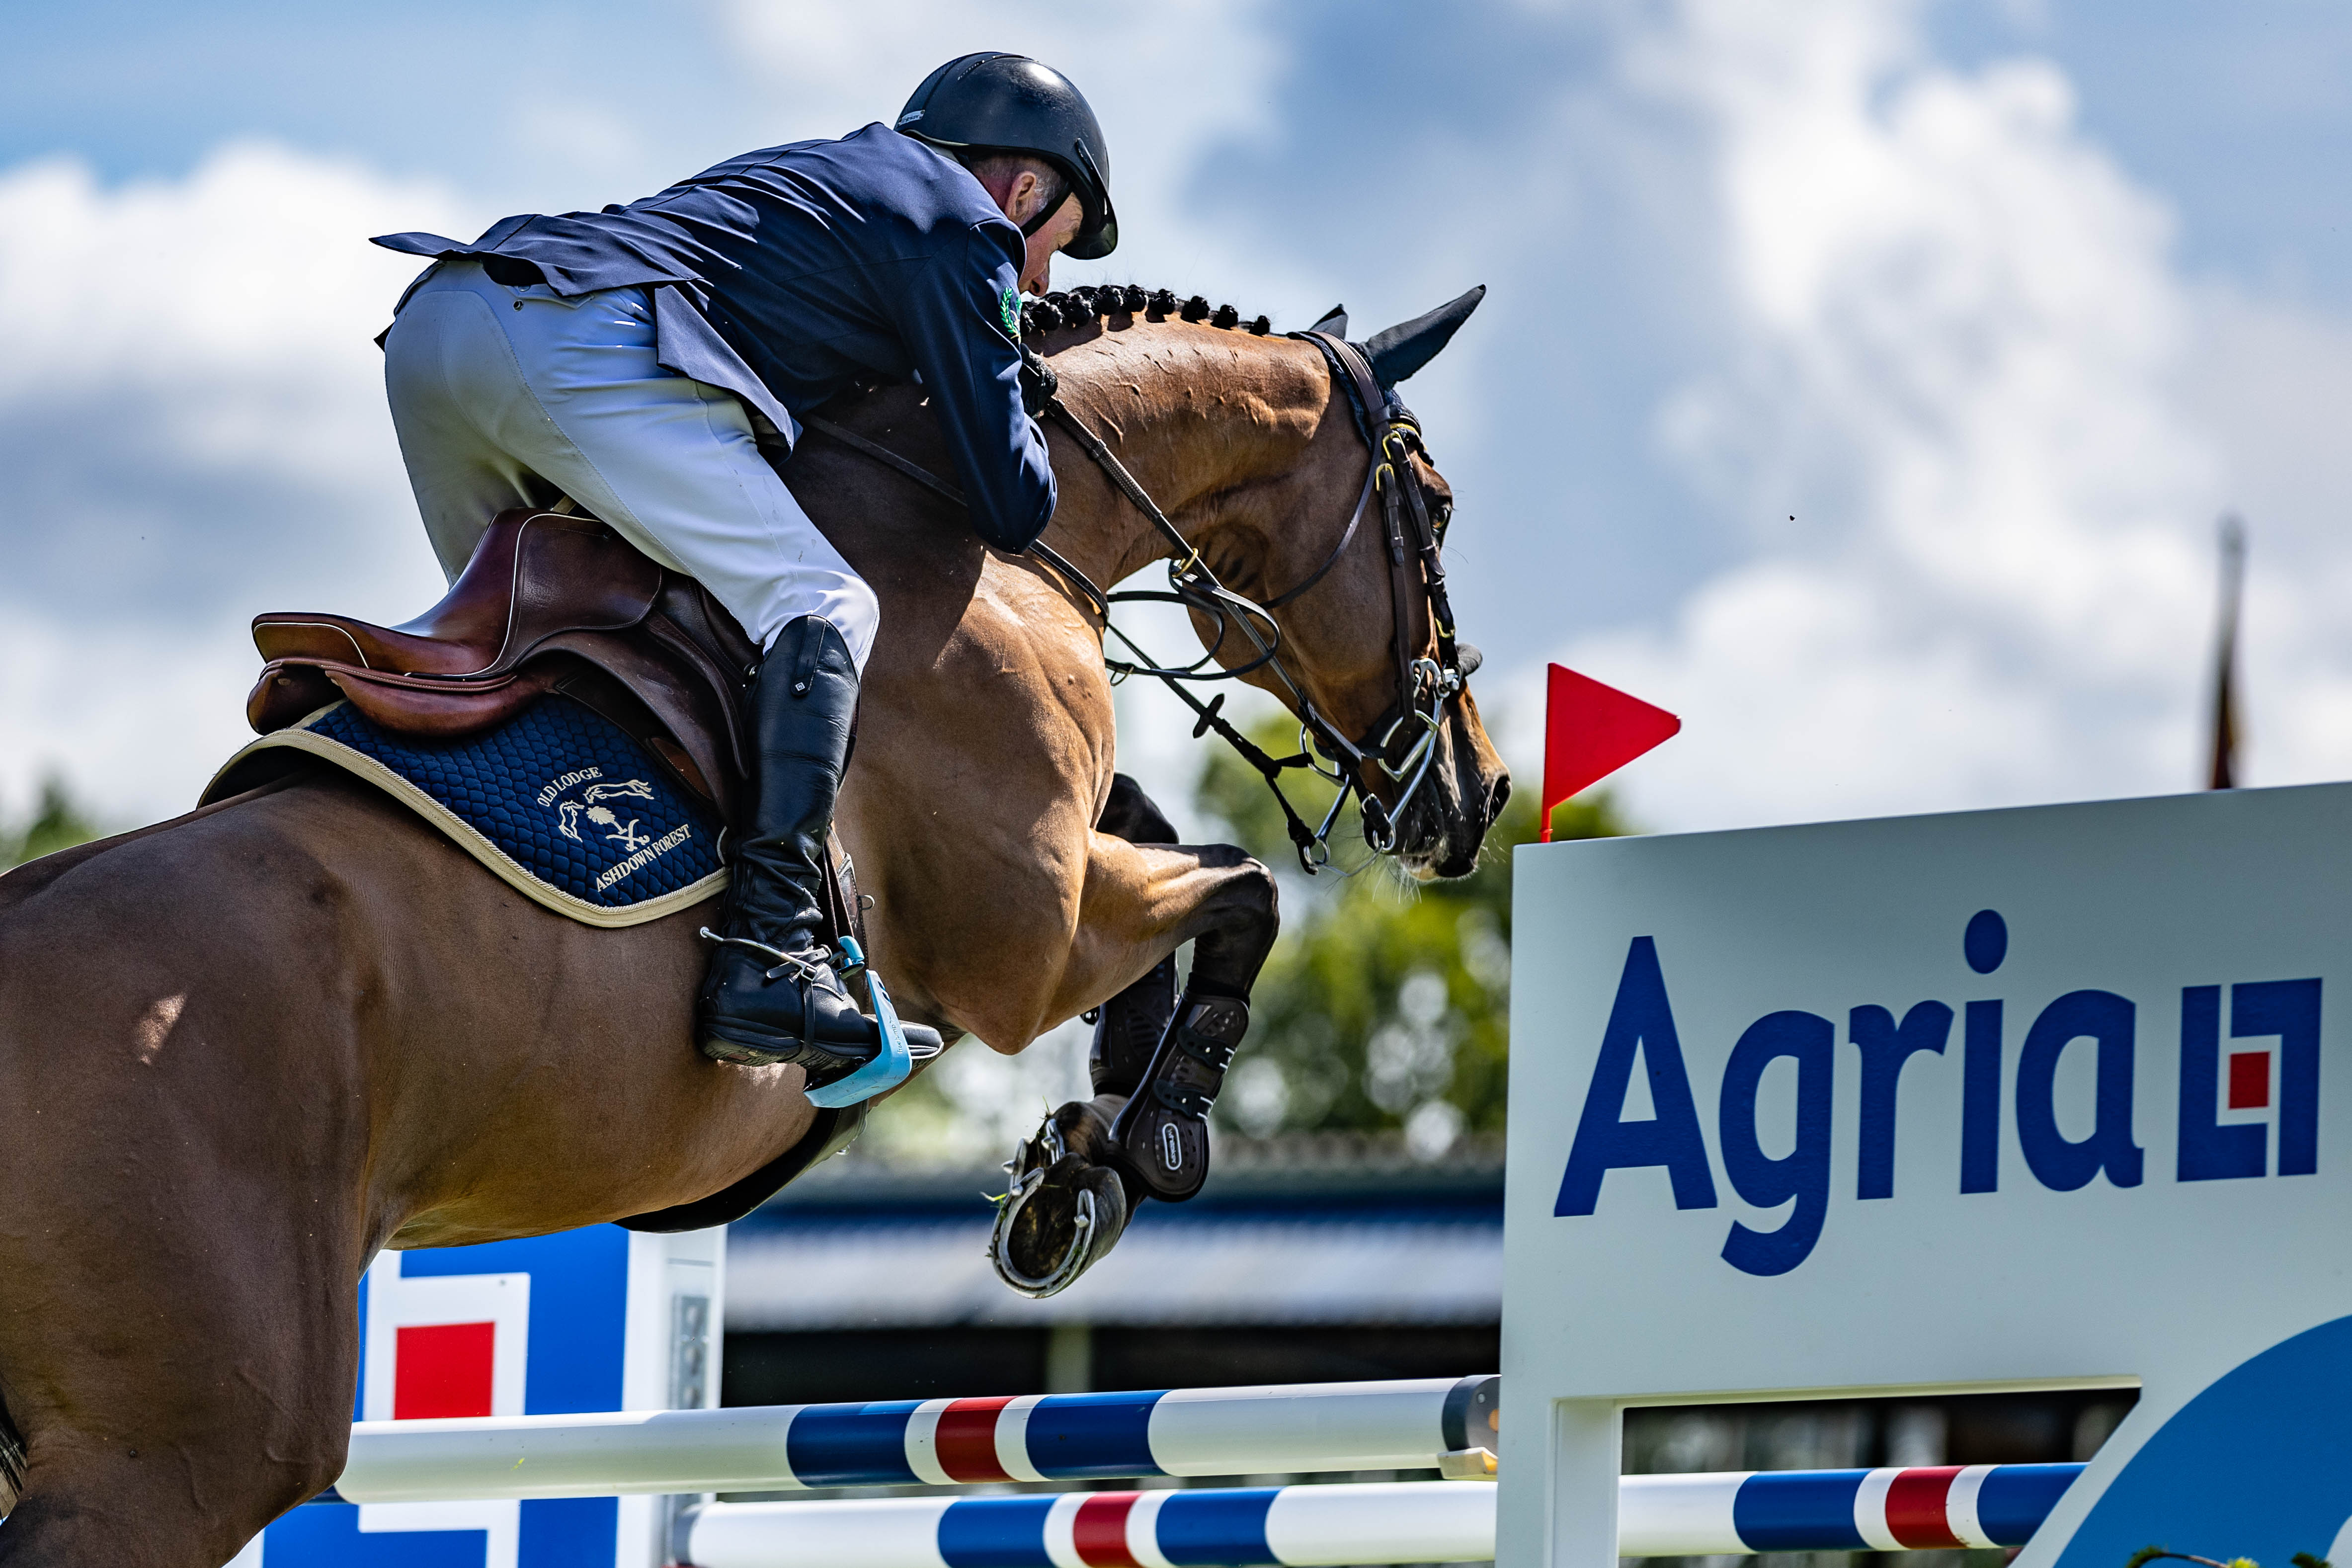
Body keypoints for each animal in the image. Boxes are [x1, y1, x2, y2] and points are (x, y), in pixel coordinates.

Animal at [0, 288, 1509, 1566]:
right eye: (1434, 507)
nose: (1477, 792)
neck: (986, 536)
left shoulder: (1065, 884)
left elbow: (1161, 839)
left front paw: (1079, 1155)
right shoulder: (1029, 944)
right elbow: (1241, 886)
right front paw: (1150, 1133)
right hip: (183, 1456)